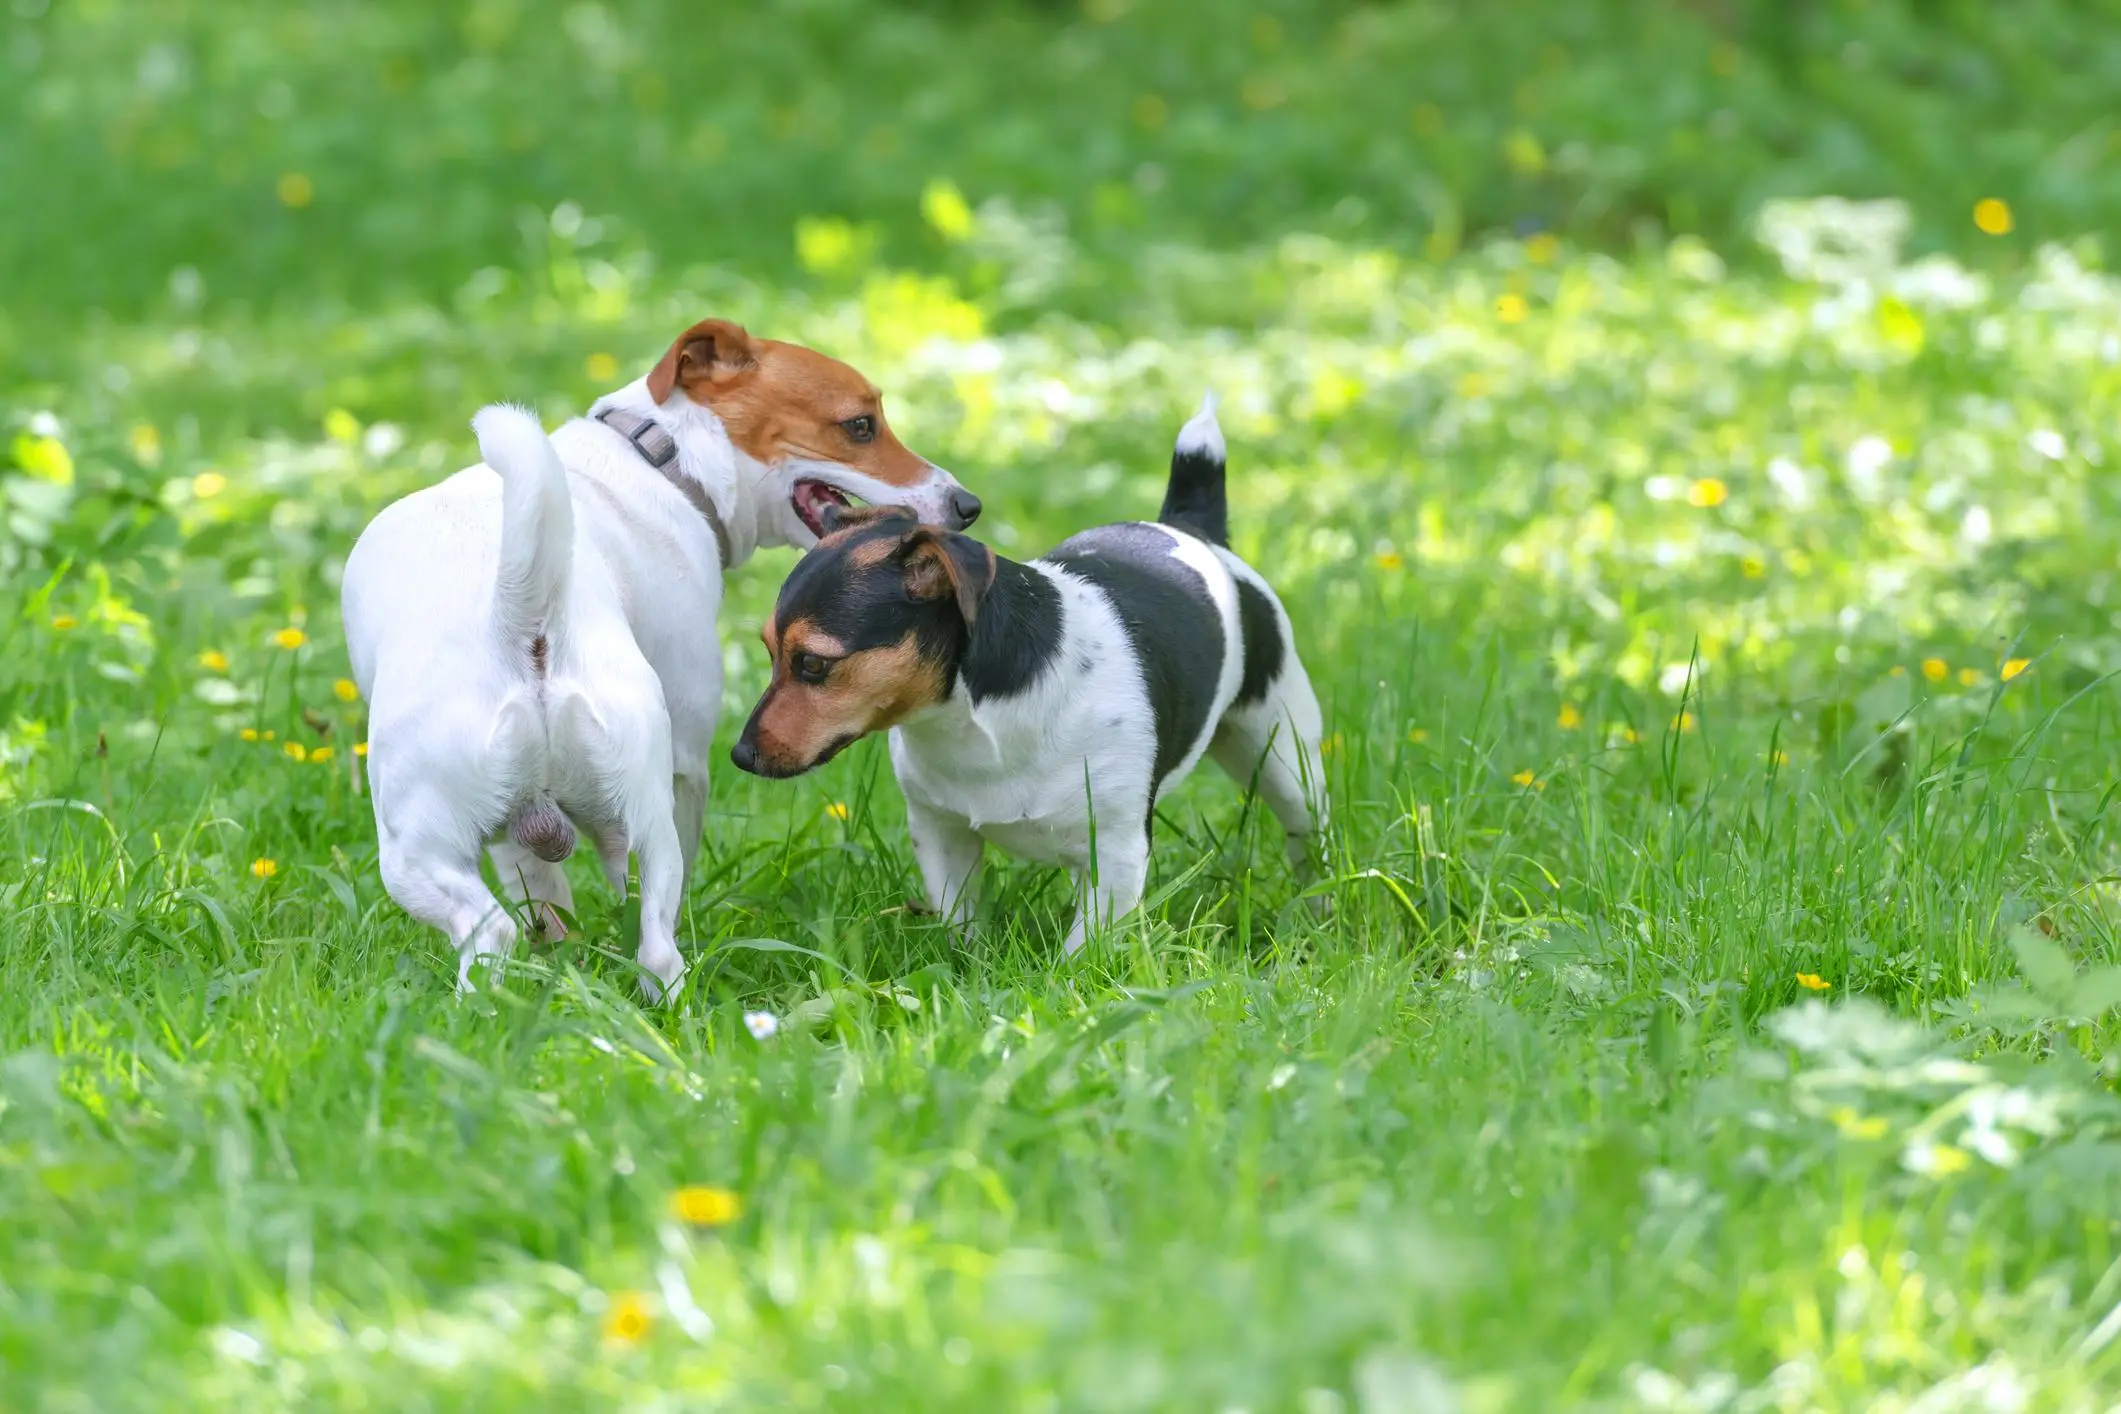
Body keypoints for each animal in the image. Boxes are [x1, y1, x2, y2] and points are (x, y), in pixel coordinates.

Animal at [341, 320, 975, 996]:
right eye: (860, 425)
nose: (968, 505)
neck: (658, 457)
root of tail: (520, 617)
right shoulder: (666, 780)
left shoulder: (646, 786)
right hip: (582, 824)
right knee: (623, 946)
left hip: (452, 845)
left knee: (522, 936)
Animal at [729, 396, 1323, 949]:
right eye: (769, 652)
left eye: (812, 663)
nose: (739, 756)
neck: (973, 722)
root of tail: (1188, 527)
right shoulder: (941, 834)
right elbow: (961, 927)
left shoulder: (1115, 853)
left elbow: (1083, 956)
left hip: (1285, 757)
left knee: (1306, 838)